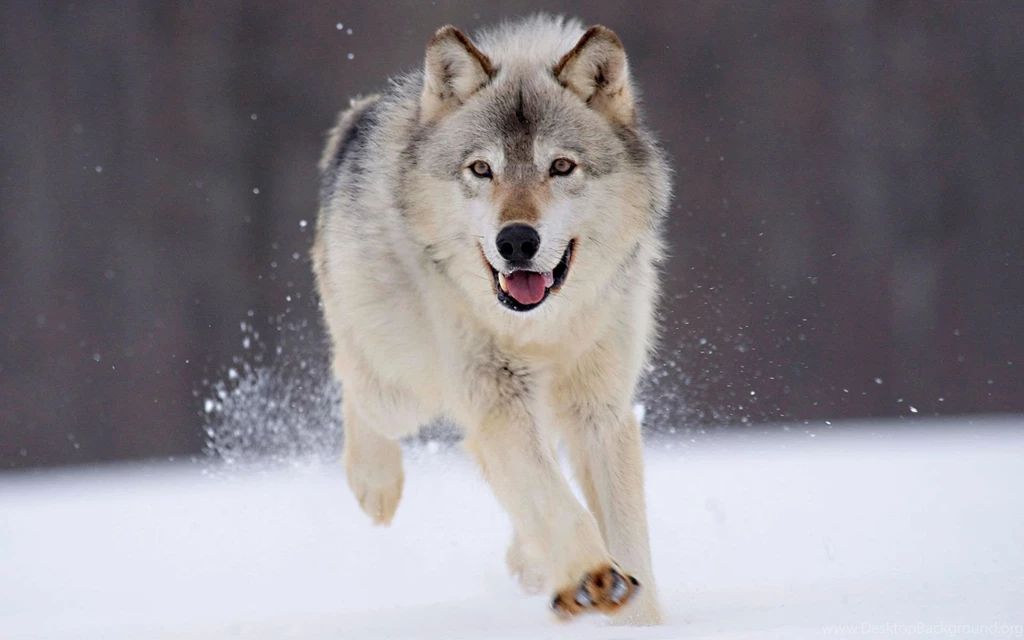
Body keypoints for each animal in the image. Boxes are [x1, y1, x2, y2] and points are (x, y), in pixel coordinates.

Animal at [312, 14, 671, 624]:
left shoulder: (600, 410)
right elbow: (556, 501)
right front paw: (591, 576)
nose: (517, 241)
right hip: (402, 387)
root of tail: (358, 118)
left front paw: (636, 617)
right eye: (481, 169)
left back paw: (530, 563)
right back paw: (375, 485)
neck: (541, 328)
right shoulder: (496, 396)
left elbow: (627, 536)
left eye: (561, 166)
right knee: (355, 384)